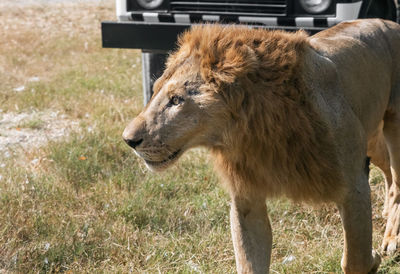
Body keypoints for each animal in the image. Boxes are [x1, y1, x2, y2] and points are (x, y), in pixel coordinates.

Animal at [122, 18, 400, 272]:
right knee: (387, 169)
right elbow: (249, 261)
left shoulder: (353, 187)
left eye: (176, 99)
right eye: (154, 90)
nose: (128, 139)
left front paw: (373, 261)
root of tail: (388, 22)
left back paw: (391, 240)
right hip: (371, 137)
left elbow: (355, 259)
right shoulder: (246, 198)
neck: (251, 134)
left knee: (397, 183)